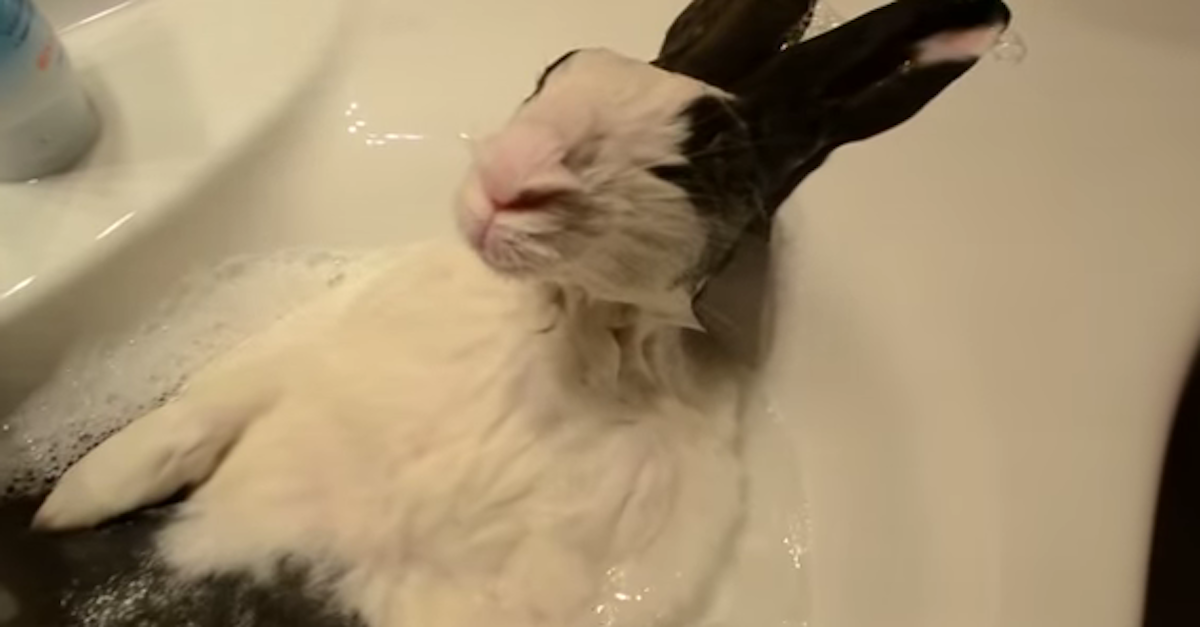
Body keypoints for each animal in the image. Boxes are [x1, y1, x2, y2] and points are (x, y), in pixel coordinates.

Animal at [7, 1, 1011, 626]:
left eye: (701, 159)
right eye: (555, 67)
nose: (507, 179)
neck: (556, 329)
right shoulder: (288, 360)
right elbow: (165, 436)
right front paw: (62, 505)